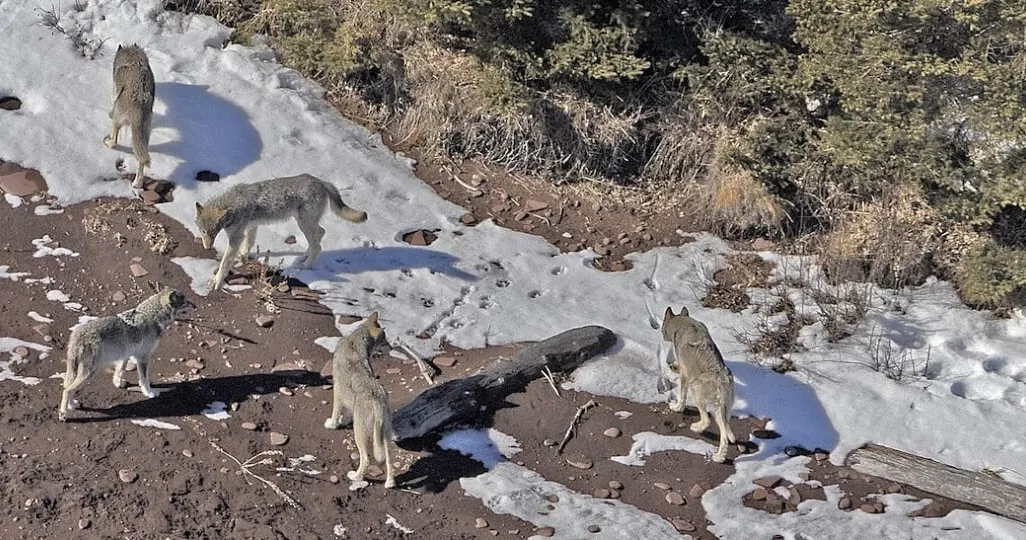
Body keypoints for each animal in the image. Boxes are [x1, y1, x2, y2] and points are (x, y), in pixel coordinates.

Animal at [58, 288, 195, 421]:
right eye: (185, 302)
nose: (195, 306)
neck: (153, 315)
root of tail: (78, 334)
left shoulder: (125, 354)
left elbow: (120, 370)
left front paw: (118, 383)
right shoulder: (143, 358)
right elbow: (145, 379)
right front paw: (149, 393)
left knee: (68, 387)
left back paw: (72, 405)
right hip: (89, 373)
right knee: (67, 390)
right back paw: (63, 414)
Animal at [104, 44, 155, 189]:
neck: (132, 58)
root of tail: (140, 103)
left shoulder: (115, 91)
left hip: (118, 119)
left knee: (115, 140)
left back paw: (108, 142)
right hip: (144, 134)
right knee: (141, 159)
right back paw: (137, 183)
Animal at [194, 174, 368, 291]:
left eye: (212, 233)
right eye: (203, 232)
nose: (207, 247)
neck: (232, 205)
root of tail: (321, 182)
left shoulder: (236, 237)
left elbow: (224, 263)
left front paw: (216, 281)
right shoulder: (251, 227)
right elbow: (248, 245)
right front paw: (242, 257)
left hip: (303, 224)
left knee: (318, 245)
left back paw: (305, 265)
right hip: (305, 224)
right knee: (320, 234)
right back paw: (304, 255)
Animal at [323, 311, 397, 488]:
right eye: (385, 340)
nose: (392, 348)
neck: (354, 342)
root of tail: (378, 400)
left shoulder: (337, 390)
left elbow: (336, 413)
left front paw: (332, 424)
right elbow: (346, 413)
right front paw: (343, 421)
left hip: (360, 434)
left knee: (366, 459)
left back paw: (356, 477)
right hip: (385, 435)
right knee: (389, 461)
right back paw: (389, 483)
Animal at [662, 305, 737, 463]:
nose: (661, 333)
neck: (682, 323)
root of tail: (722, 383)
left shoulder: (685, 376)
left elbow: (681, 397)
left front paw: (676, 408)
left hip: (697, 394)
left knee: (707, 421)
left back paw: (696, 428)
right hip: (722, 410)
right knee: (725, 433)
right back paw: (720, 457)